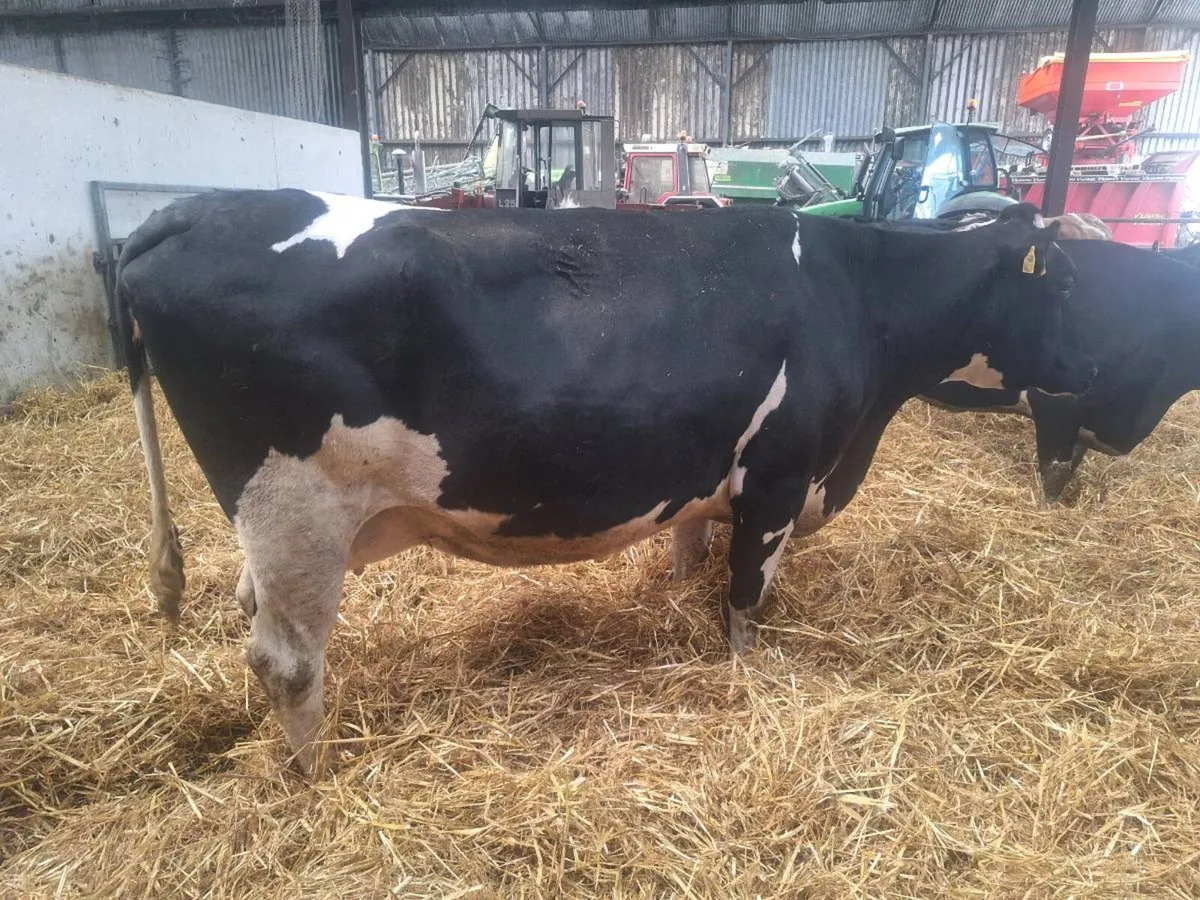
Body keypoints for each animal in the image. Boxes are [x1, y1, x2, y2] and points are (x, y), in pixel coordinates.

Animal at [115, 190, 1091, 773]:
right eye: (1069, 281)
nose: (1087, 383)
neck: (856, 294)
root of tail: (196, 207)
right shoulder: (780, 479)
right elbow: (745, 600)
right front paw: (745, 679)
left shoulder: (712, 476)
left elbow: (690, 555)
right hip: (296, 506)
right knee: (285, 661)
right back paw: (311, 778)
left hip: (278, 526)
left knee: (251, 610)